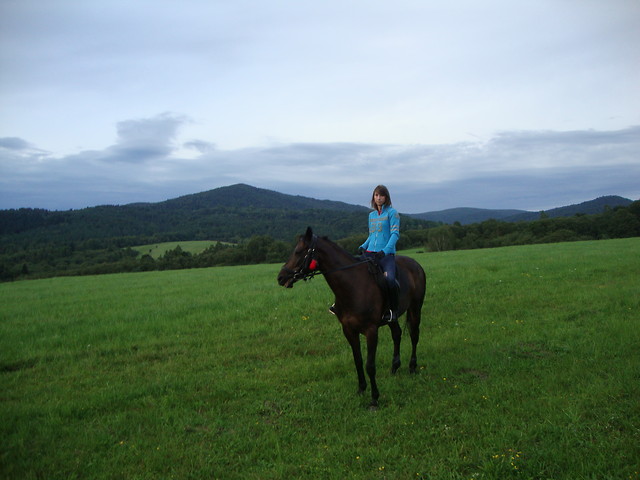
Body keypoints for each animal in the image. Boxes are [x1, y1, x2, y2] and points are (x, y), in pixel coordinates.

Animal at [278, 227, 428, 406]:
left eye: (298, 251)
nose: (281, 277)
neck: (353, 285)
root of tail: (416, 264)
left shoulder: (371, 331)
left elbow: (370, 365)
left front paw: (374, 399)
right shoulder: (348, 330)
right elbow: (358, 360)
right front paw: (361, 389)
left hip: (415, 308)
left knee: (414, 335)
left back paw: (412, 367)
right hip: (393, 316)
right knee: (397, 334)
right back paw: (394, 367)